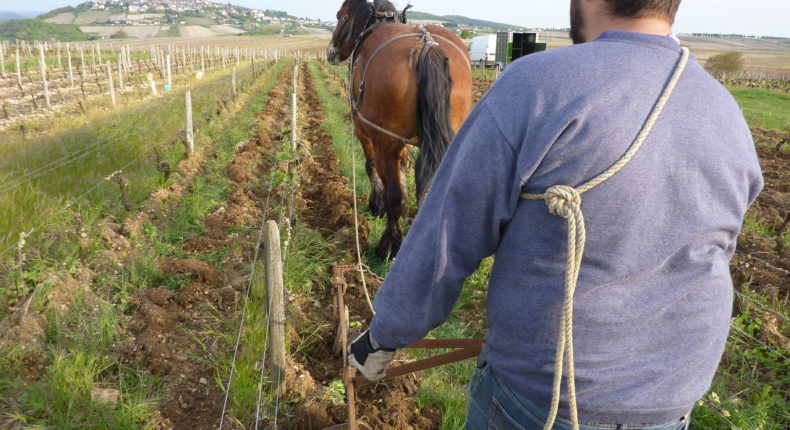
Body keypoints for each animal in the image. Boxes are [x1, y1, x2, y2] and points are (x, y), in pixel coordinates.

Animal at [326, 0, 470, 258]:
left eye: (342, 16)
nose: (331, 52)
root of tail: (427, 45)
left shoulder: (365, 130)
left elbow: (371, 166)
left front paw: (376, 205)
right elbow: (404, 168)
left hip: (386, 141)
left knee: (394, 195)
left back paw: (388, 245)